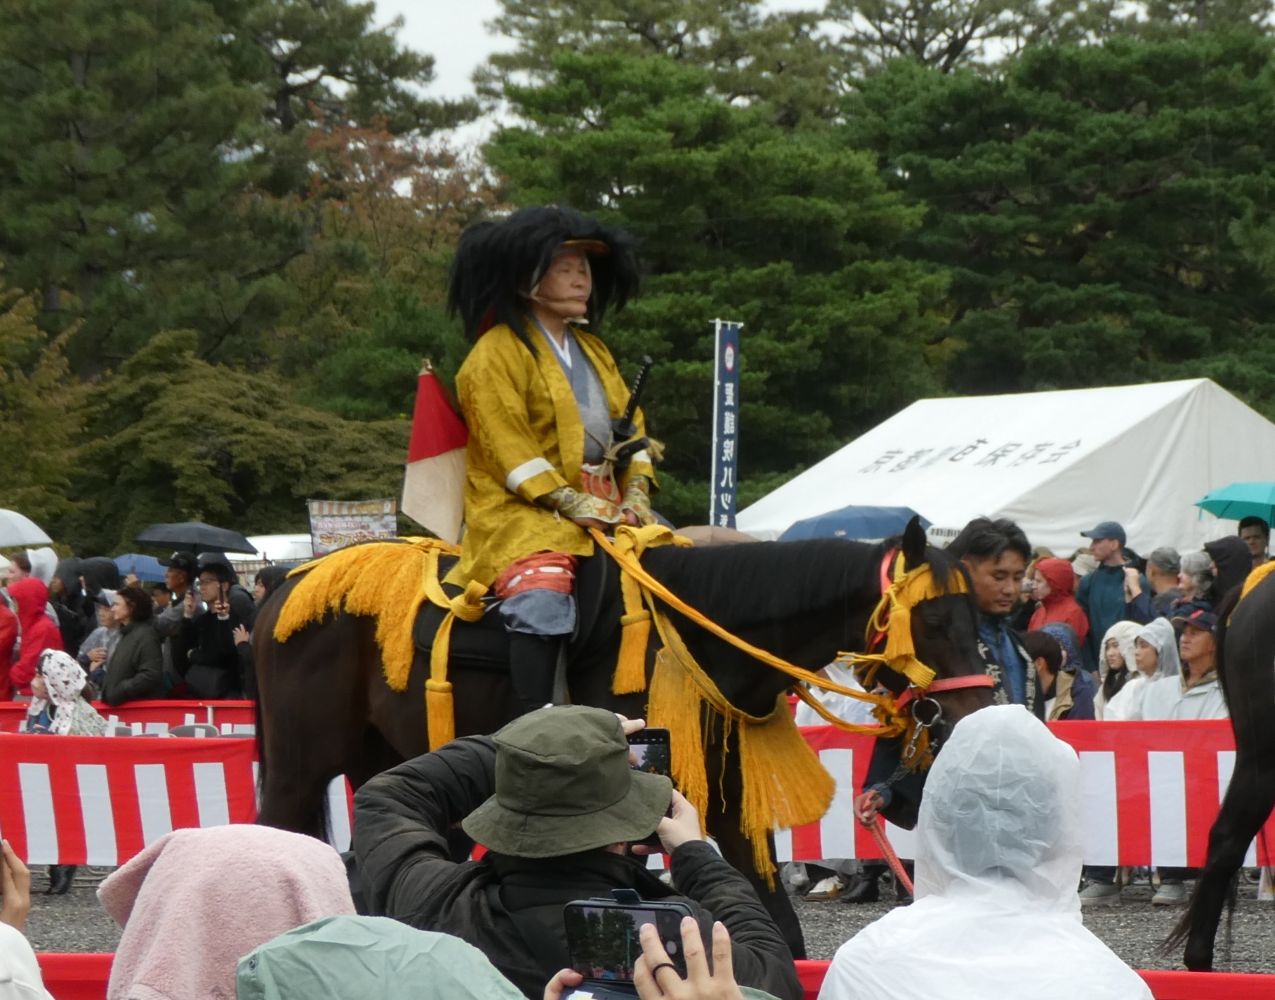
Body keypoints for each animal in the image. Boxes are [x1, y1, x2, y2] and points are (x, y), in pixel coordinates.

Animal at [251, 517, 995, 957]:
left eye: (978, 613)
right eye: (932, 620)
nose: (976, 710)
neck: (704, 635)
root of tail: (288, 584)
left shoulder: (727, 807)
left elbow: (776, 922)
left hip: (384, 756)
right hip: (298, 767)